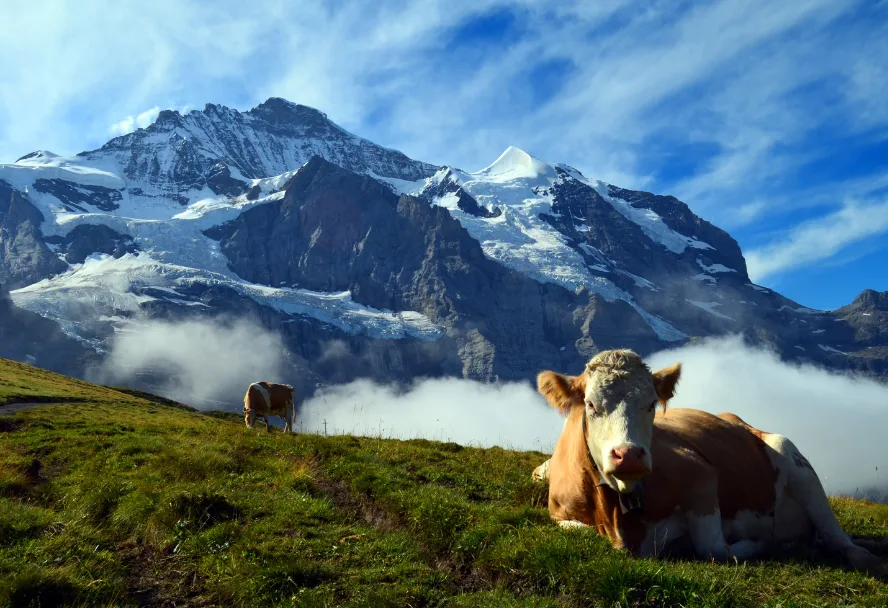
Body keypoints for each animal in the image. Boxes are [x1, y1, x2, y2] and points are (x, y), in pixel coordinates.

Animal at [532, 348, 886, 578]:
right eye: (591, 404)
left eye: (651, 404)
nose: (629, 454)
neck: (617, 518)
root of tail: (737, 419)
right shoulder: (559, 514)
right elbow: (582, 532)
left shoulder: (699, 473)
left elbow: (713, 548)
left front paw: (756, 544)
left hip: (794, 458)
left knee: (839, 538)